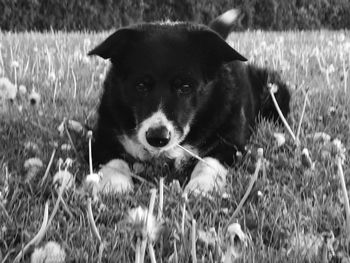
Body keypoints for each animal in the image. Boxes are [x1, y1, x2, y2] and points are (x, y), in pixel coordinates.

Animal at [87, 11, 290, 195]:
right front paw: (114, 183)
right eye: (141, 85)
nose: (157, 137)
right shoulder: (103, 136)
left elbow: (209, 161)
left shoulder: (231, 141)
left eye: (185, 86)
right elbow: (114, 161)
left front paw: (202, 185)